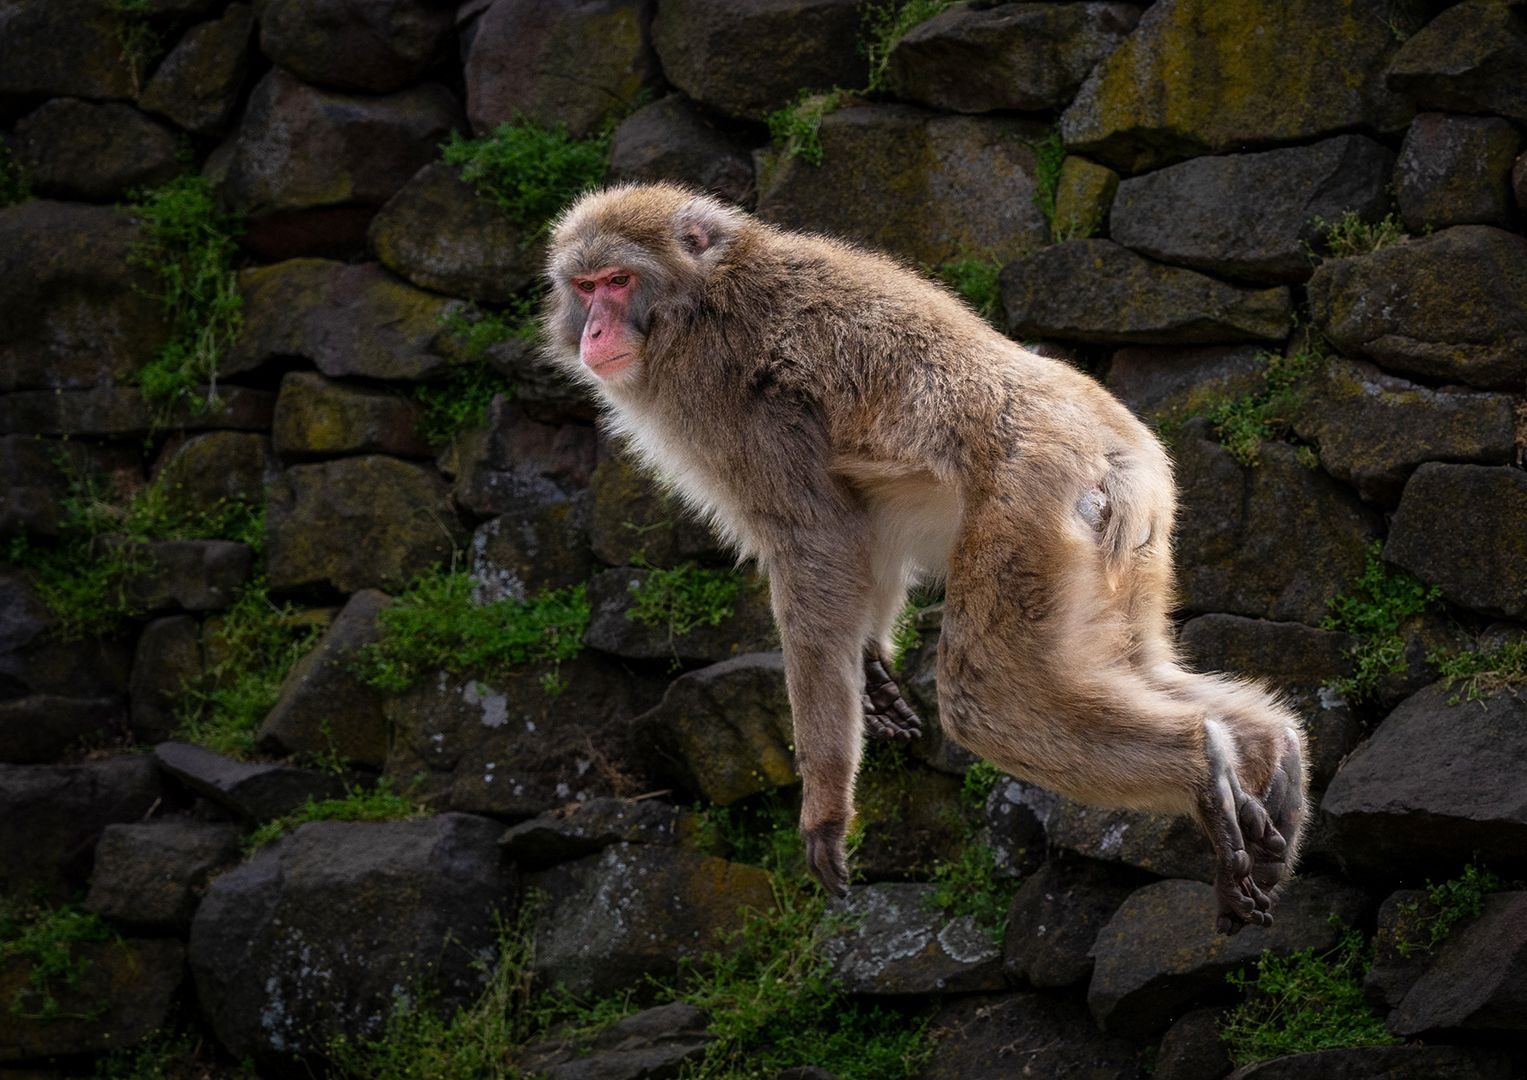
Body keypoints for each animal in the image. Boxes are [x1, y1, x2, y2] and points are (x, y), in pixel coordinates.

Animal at [541, 182, 1308, 934]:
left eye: (618, 281)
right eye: (584, 286)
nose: (594, 331)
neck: (700, 297)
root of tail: (1119, 455)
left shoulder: (729, 401)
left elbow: (819, 542)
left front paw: (826, 805)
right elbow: (859, 533)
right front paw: (871, 663)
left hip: (1030, 506)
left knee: (984, 701)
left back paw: (1202, 770)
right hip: (1135, 537)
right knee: (1135, 667)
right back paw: (1266, 753)